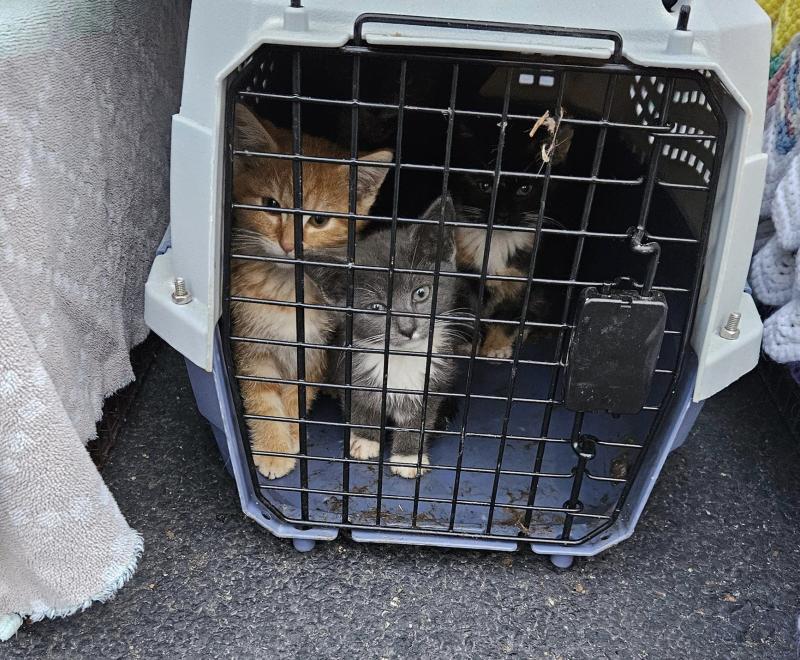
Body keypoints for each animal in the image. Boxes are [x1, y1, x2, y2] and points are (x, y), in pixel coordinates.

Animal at [230, 104, 392, 480]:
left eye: (318, 220)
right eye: (271, 204)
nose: (289, 245)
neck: (287, 290)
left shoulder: (315, 347)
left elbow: (296, 395)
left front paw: (290, 434)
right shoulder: (251, 345)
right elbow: (262, 398)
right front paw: (274, 448)